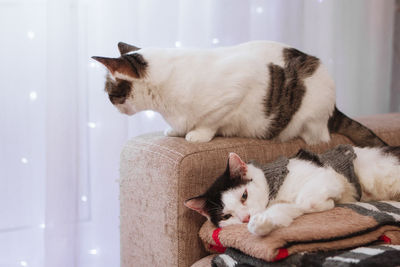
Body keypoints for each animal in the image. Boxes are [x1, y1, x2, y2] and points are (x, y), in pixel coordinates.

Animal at [92, 40, 386, 148]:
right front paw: (176, 130)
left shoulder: (241, 83)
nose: (110, 104)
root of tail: (335, 106)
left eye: (109, 93)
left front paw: (197, 134)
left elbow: (210, 121)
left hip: (310, 117)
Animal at [184, 147, 400, 237]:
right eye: (227, 216)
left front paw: (327, 203)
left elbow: (305, 200)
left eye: (244, 196)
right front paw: (260, 225)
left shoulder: (330, 176)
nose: (245, 218)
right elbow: (284, 211)